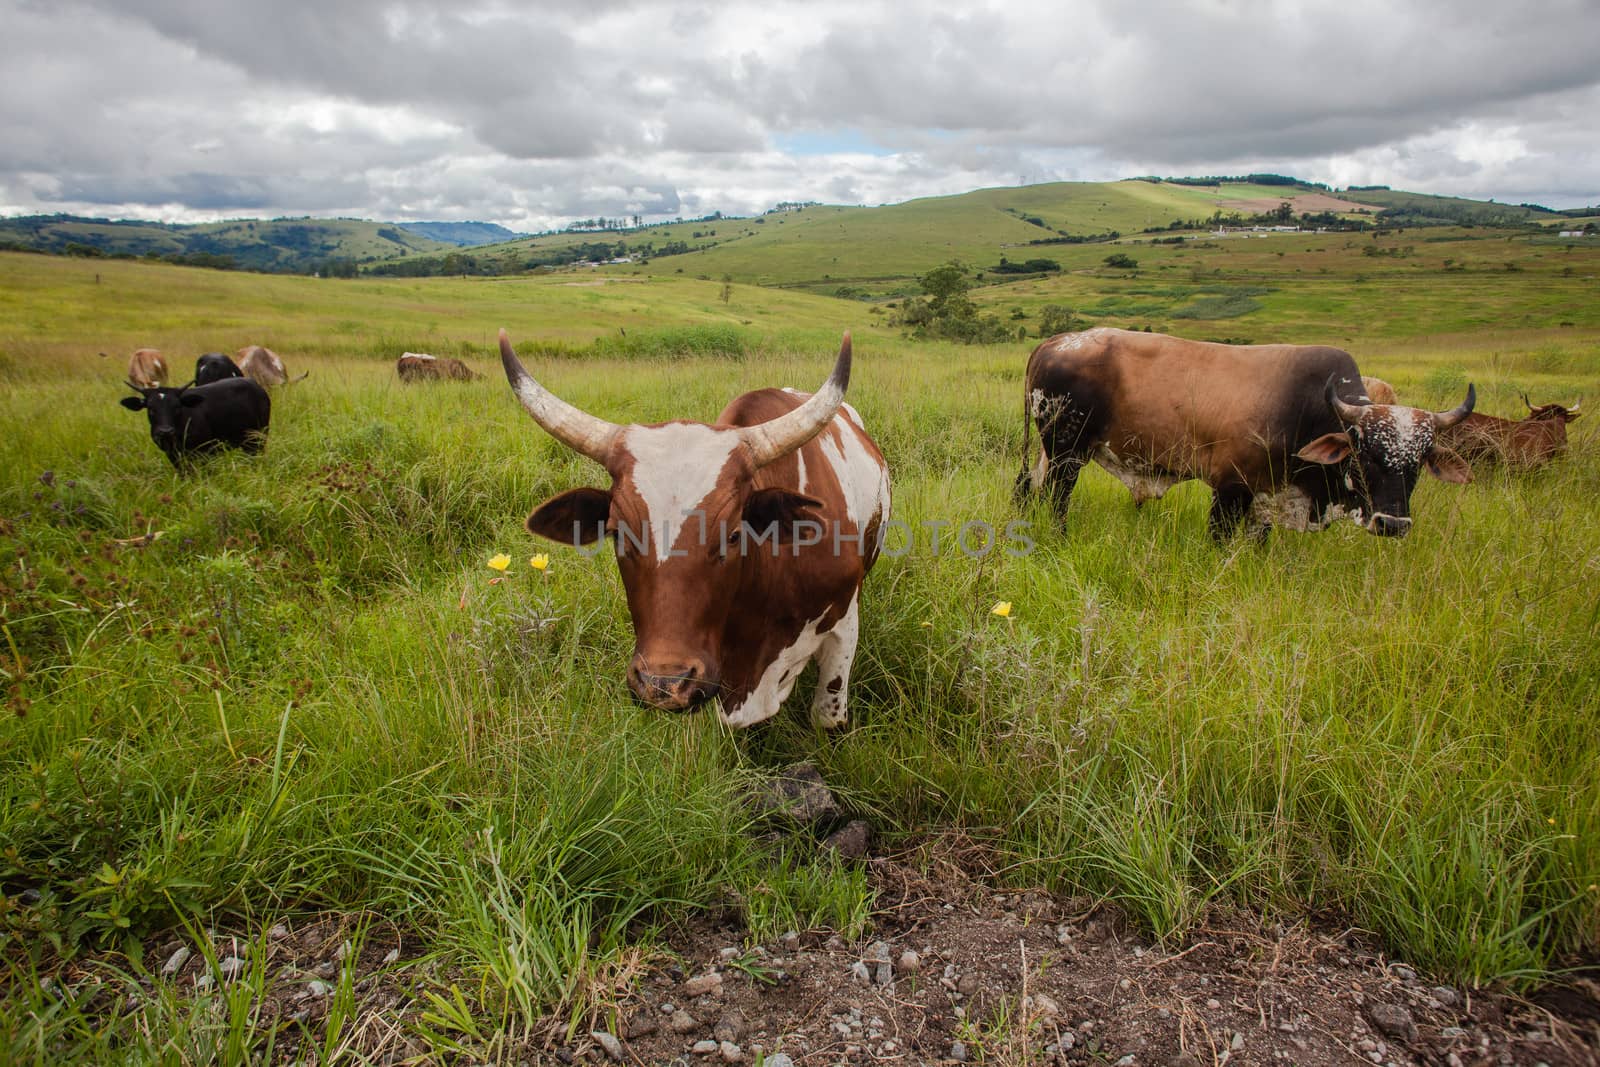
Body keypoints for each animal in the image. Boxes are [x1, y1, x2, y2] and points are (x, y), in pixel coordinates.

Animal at [120, 379, 272, 470]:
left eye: (177, 407)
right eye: (151, 408)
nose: (165, 431)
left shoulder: (204, 451)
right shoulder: (172, 455)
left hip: (258, 437)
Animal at [1017, 327, 1465, 543]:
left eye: (1419, 462)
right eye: (1365, 453)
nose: (1393, 524)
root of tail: (1057, 341)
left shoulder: (1268, 495)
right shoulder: (1231, 488)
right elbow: (1219, 539)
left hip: (1049, 452)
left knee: (1029, 488)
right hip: (1067, 454)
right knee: (1056, 500)